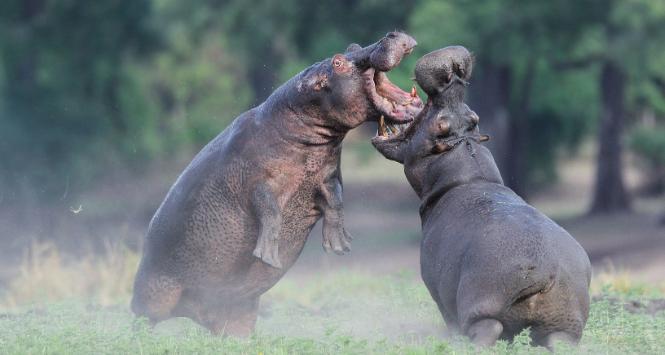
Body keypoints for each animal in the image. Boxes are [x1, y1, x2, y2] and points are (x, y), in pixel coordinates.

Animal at [130, 31, 422, 336]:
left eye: (353, 46)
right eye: (338, 62)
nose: (392, 34)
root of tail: (195, 313)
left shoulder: (329, 175)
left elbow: (336, 201)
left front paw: (340, 244)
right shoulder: (257, 181)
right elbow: (270, 210)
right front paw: (268, 255)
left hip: (241, 311)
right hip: (151, 296)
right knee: (142, 317)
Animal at [368, 46, 592, 350]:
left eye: (440, 126)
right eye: (473, 117)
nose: (453, 69)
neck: (468, 169)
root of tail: (547, 272)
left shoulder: (439, 293)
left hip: (482, 309)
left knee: (486, 330)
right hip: (565, 328)